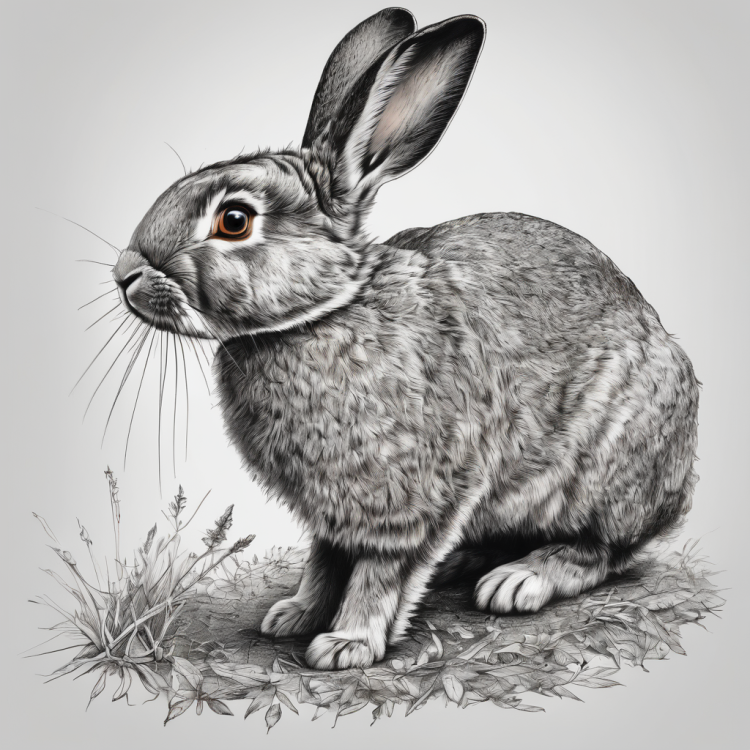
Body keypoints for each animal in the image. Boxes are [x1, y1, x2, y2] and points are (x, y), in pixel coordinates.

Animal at [112, 7, 699, 670]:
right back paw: (465, 563)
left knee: (603, 549)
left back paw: (519, 580)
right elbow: (324, 561)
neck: (321, 315)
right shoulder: (335, 513)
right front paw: (294, 616)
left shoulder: (416, 498)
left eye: (234, 220)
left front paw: (346, 645)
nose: (125, 273)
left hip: (610, 468)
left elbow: (380, 572)